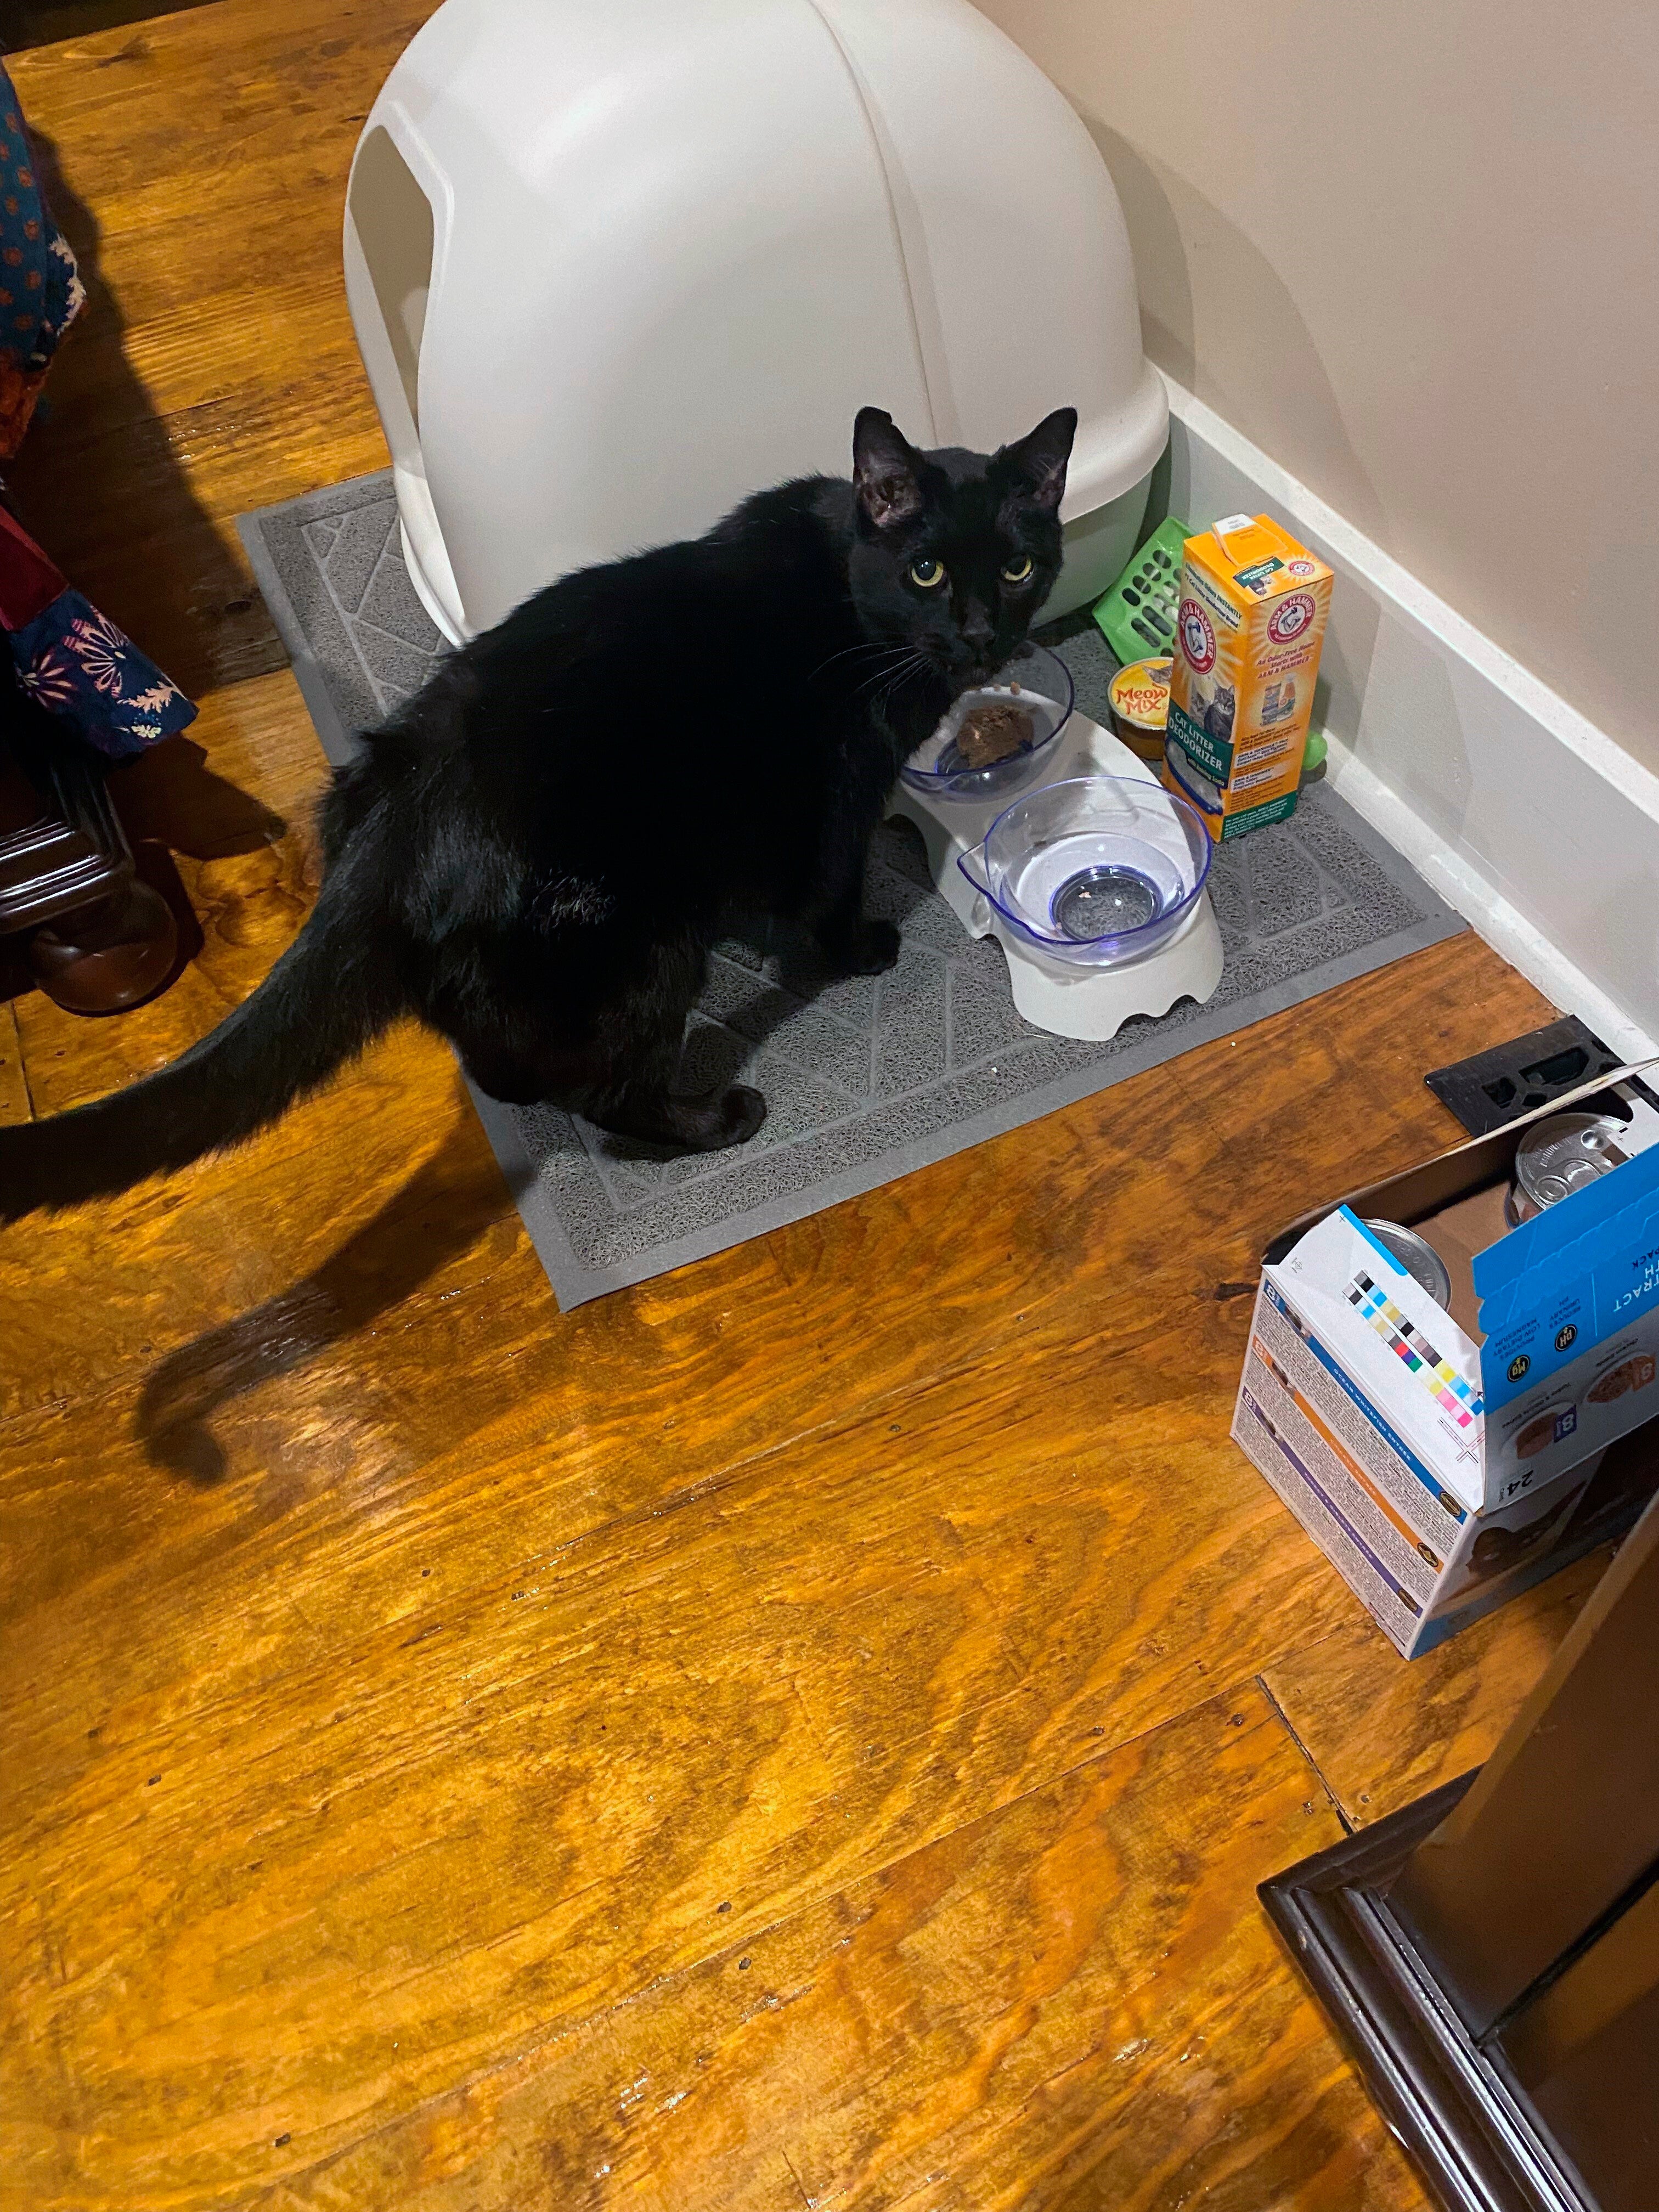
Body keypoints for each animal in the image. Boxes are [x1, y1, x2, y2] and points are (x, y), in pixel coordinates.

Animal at [0, 407, 1079, 1221]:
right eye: (927, 572)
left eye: (1017, 569)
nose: (982, 636)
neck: (856, 600)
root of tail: (398, 817)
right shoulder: (840, 792)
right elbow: (830, 890)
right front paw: (862, 949)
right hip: (646, 952)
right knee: (610, 1095)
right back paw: (718, 1118)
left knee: (497, 1050)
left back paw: (517, 1079)